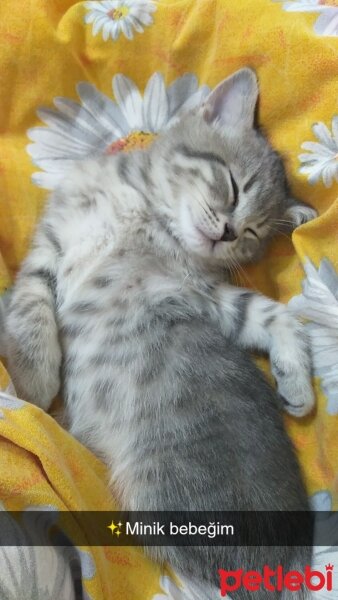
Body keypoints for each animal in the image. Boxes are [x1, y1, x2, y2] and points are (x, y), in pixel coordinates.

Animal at [4, 69, 316, 596]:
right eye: (234, 186)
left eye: (252, 233)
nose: (228, 232)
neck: (150, 216)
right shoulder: (55, 238)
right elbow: (31, 299)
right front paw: (34, 378)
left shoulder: (203, 293)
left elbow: (270, 312)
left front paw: (298, 381)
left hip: (162, 500)